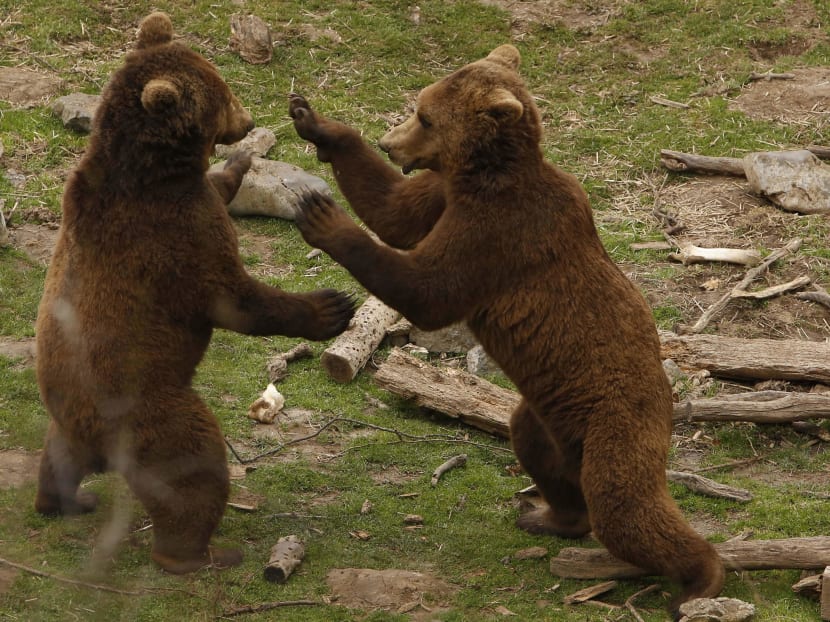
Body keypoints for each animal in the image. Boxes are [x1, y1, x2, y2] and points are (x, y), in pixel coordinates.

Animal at [34, 11, 354, 574]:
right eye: (222, 95)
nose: (247, 123)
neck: (154, 169)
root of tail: (90, 432)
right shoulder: (173, 237)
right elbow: (235, 298)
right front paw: (331, 306)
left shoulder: (186, 200)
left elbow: (219, 190)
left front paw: (240, 163)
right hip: (150, 411)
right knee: (193, 469)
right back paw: (199, 553)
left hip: (66, 419)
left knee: (58, 458)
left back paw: (67, 500)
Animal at [287, 44, 724, 616]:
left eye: (426, 117)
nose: (390, 140)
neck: (482, 177)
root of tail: (668, 404)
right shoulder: (445, 197)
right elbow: (392, 209)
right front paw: (314, 121)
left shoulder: (497, 233)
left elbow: (427, 289)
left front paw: (322, 215)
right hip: (545, 414)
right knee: (538, 451)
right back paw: (549, 516)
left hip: (618, 423)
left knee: (624, 507)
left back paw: (701, 579)